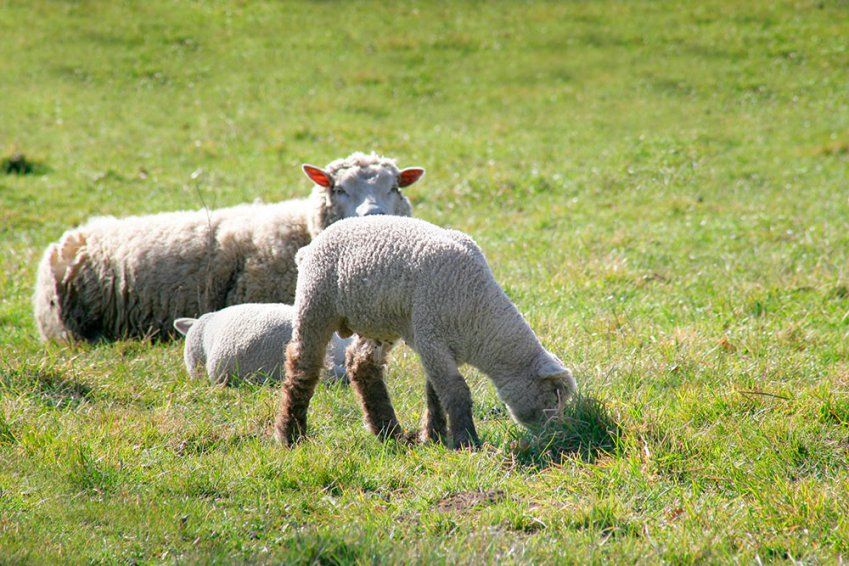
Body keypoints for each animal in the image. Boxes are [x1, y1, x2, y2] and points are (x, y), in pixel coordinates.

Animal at [274, 215, 580, 450]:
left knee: (361, 363)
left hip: (378, 319)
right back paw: (291, 434)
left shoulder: (438, 347)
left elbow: (436, 392)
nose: (557, 435)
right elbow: (456, 392)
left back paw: (388, 431)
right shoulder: (431, 337)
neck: (480, 317)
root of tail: (309, 248)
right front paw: (467, 441)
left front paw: (433, 436)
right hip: (316, 302)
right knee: (302, 366)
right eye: (553, 395)